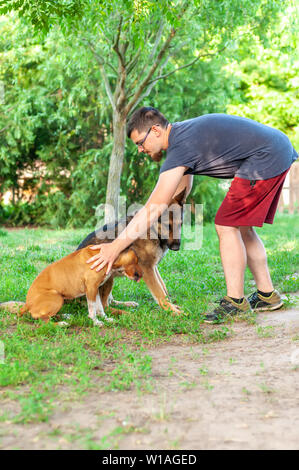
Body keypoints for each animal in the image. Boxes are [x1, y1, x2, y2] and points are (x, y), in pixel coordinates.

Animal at [76, 188, 186, 316]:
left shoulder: (154, 267)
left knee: (109, 301)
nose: (176, 247)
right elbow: (160, 293)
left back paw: (127, 304)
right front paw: (172, 311)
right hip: (107, 275)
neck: (152, 229)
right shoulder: (147, 269)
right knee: (104, 306)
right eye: (167, 226)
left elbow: (163, 288)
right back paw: (126, 313)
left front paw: (172, 306)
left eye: (181, 224)